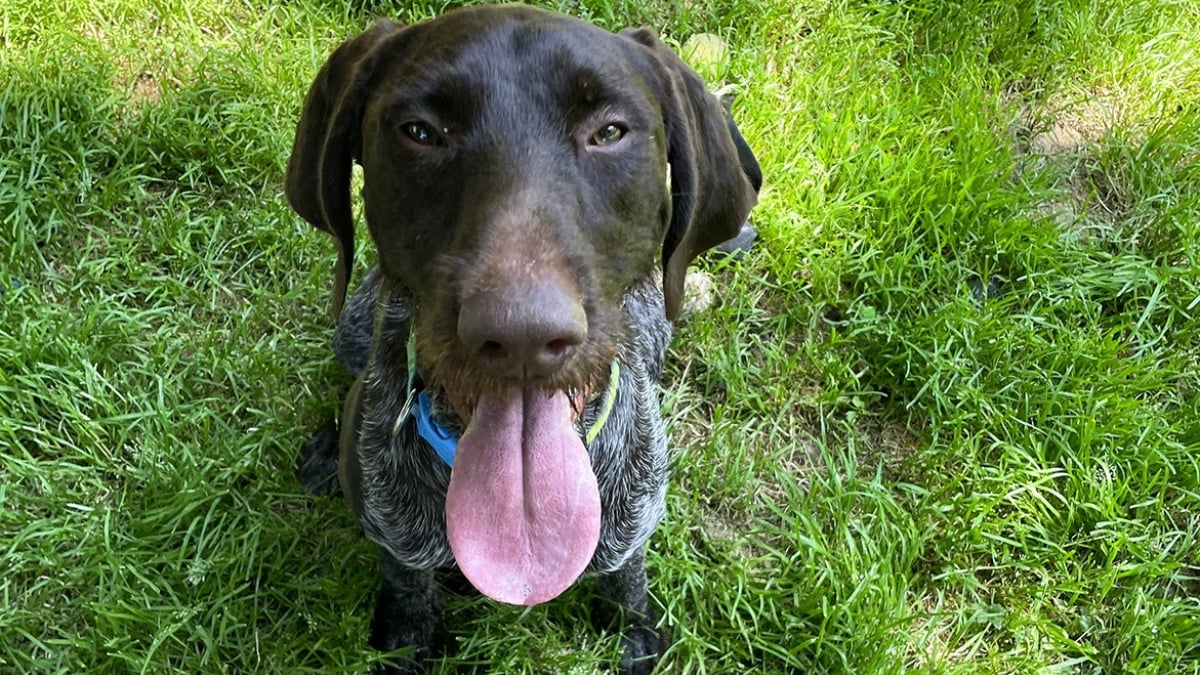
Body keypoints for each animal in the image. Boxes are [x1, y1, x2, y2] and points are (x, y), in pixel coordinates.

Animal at [283, 3, 758, 667]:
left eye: (609, 132)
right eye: (420, 132)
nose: (521, 337)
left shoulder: (629, 526)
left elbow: (626, 583)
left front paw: (633, 631)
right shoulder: (398, 543)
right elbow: (407, 589)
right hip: (351, 328)